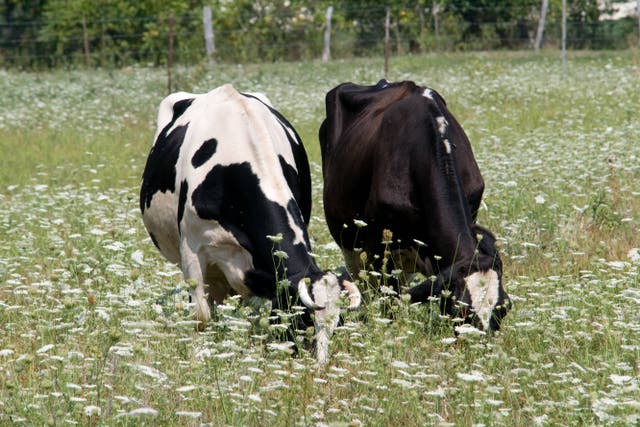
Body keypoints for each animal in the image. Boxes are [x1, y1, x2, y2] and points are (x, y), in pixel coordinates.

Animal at [140, 84, 360, 365]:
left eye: (336, 324)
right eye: (304, 321)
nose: (319, 368)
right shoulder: (192, 250)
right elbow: (200, 316)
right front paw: (198, 358)